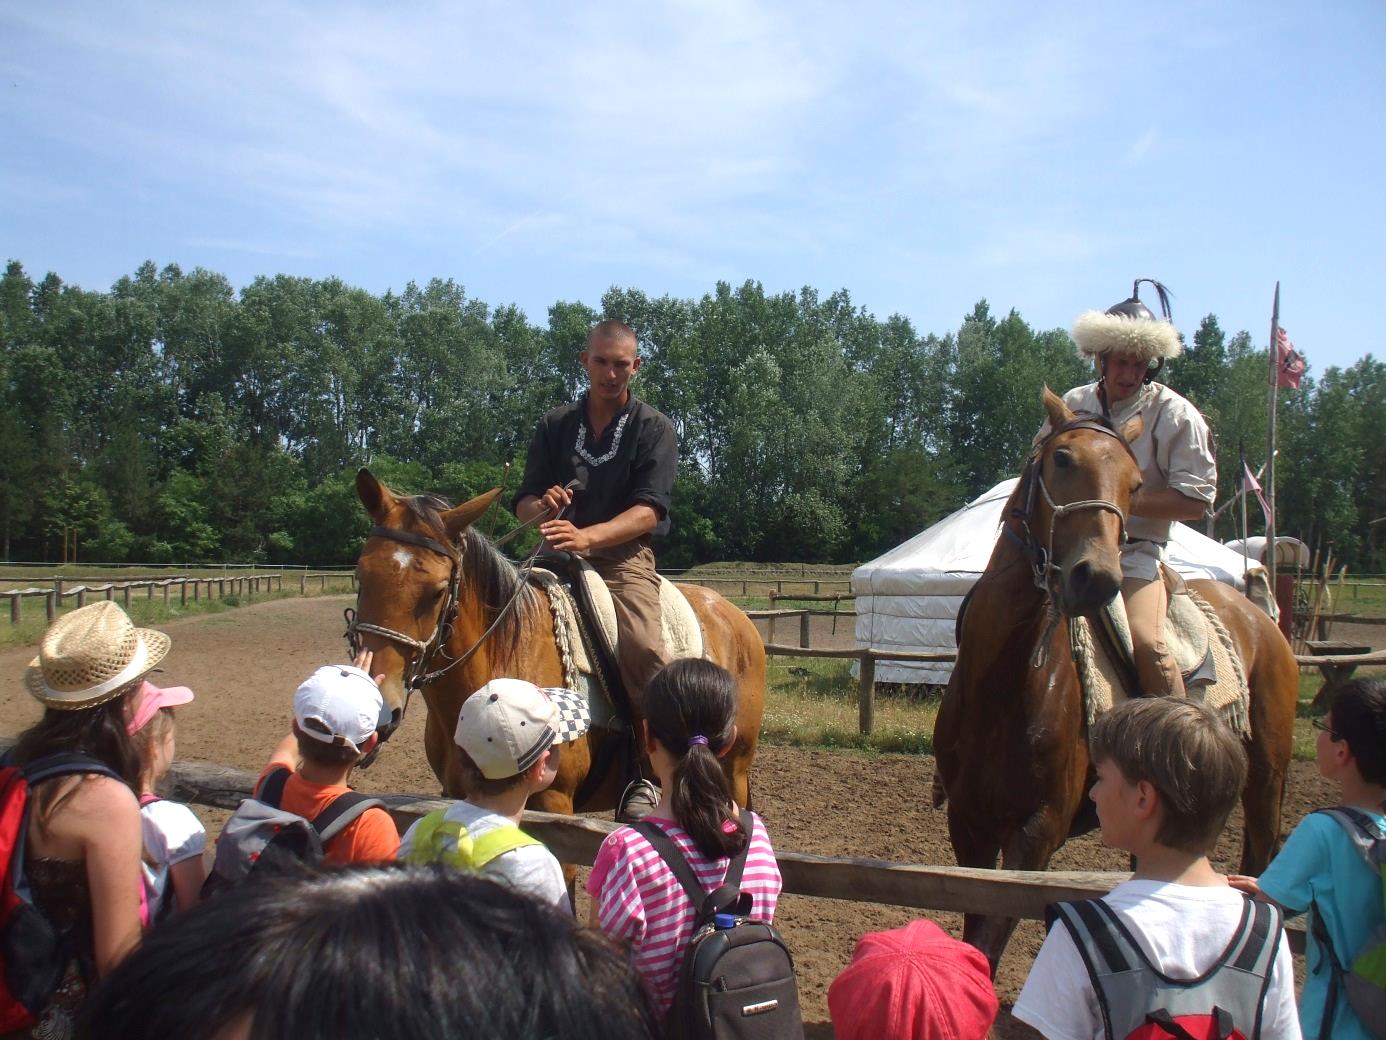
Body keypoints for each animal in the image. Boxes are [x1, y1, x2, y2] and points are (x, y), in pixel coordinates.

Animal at [343, 468, 759, 820]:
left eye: (437, 591)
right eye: (360, 575)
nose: (380, 705)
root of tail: (733, 615)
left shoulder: (554, 804)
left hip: (734, 771)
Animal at [931, 388, 1297, 976]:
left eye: (1136, 484)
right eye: (1061, 458)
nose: (1096, 578)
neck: (1005, 683)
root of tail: (1255, 614)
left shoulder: (1038, 832)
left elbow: (989, 941)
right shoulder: (969, 825)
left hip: (1266, 774)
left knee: (1259, 854)